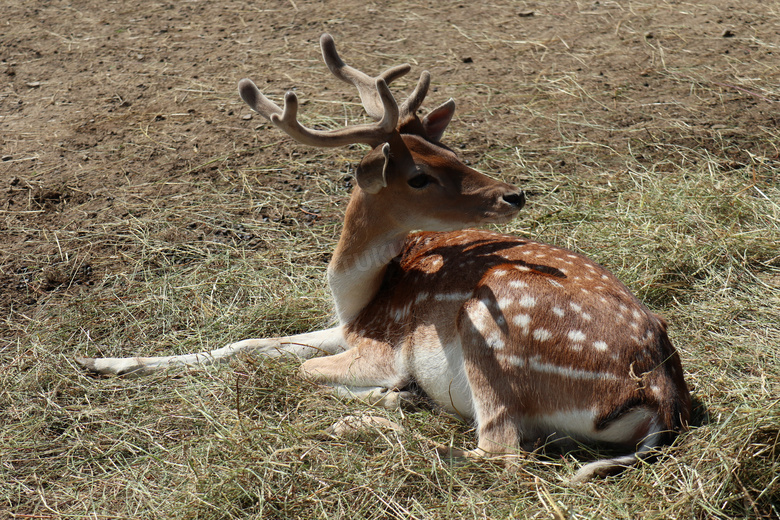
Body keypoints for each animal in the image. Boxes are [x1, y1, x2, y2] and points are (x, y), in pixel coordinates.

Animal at [77, 33, 688, 484]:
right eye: (422, 171)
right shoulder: (348, 328)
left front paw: (389, 392)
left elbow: (295, 368)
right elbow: (246, 344)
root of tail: (657, 397)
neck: (360, 294)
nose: (513, 194)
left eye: (451, 151)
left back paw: (371, 418)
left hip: (489, 328)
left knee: (500, 451)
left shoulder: (380, 344)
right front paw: (104, 362)